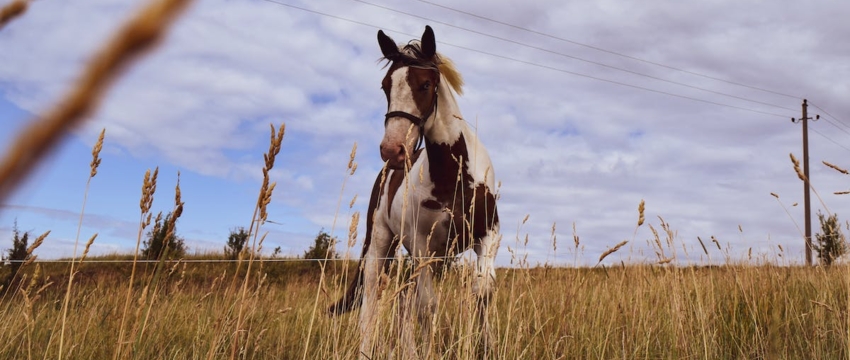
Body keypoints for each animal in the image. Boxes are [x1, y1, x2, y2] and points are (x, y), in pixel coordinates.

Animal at [324, 26, 496, 358]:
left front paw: (486, 347)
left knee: (405, 300)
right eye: (385, 86)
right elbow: (427, 307)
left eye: (426, 84)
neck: (453, 177)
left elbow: (481, 293)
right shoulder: (420, 246)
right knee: (373, 301)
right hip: (381, 243)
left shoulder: (487, 236)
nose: (392, 150)